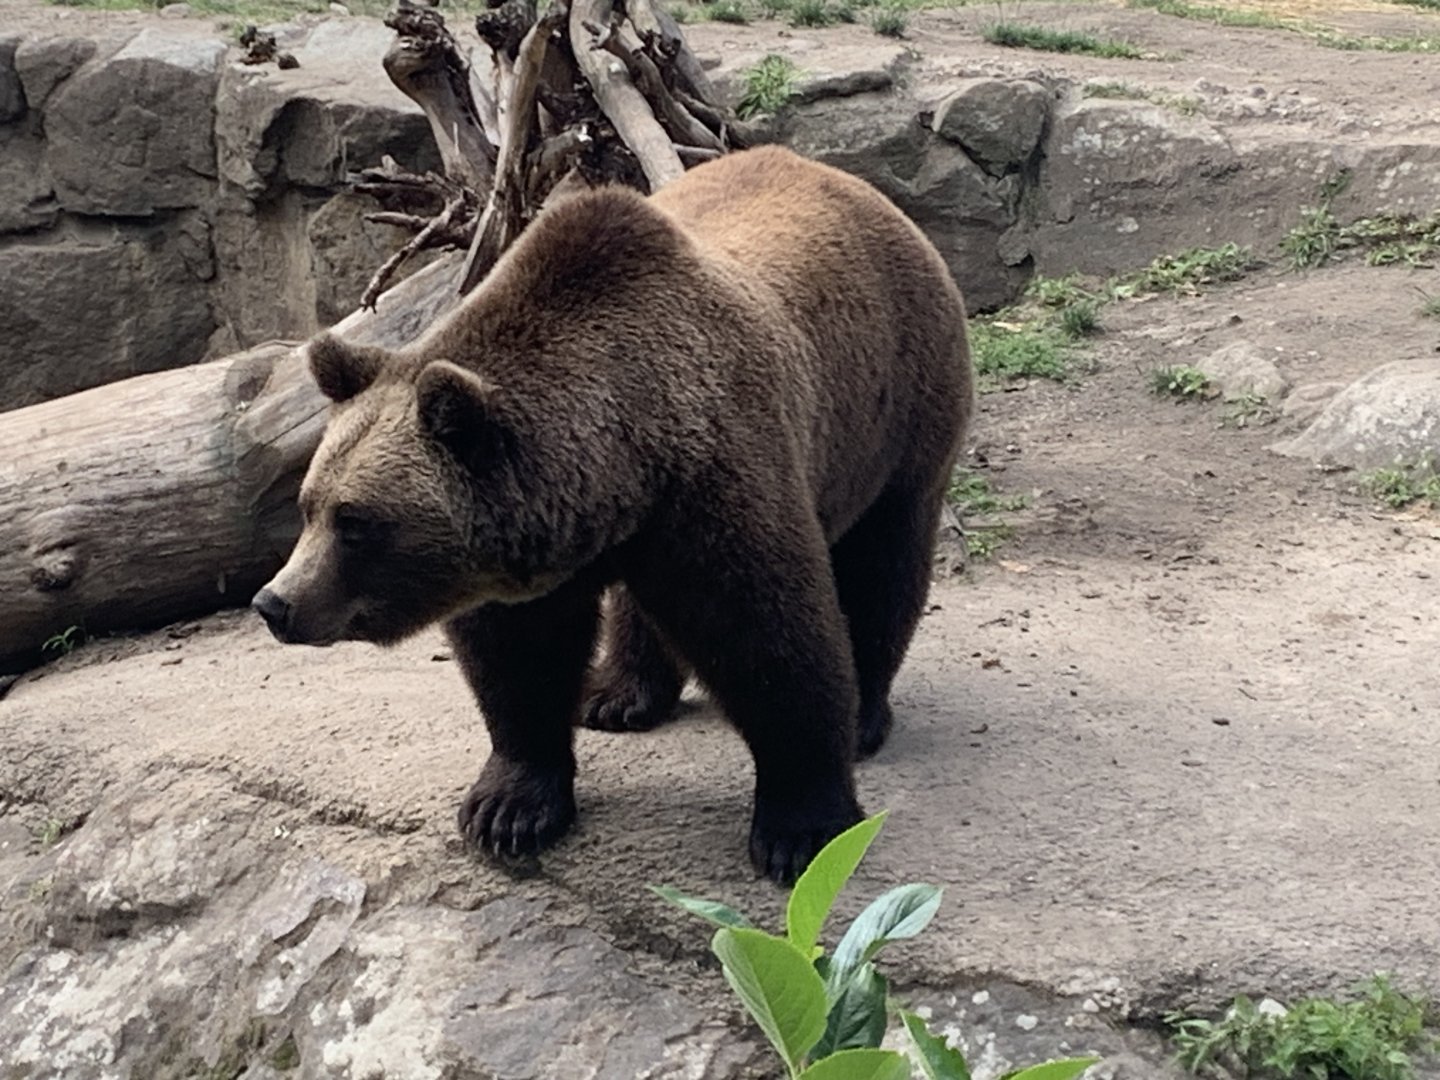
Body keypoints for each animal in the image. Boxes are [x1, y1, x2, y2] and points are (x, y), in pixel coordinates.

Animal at [252, 145, 974, 884]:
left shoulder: (714, 483)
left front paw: (802, 827)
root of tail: (852, 185)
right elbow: (519, 662)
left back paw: (865, 715)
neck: (624, 462)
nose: (276, 602)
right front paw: (508, 808)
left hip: (896, 406)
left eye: (356, 521)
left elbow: (772, 636)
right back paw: (618, 694)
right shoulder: (543, 548)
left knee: (883, 561)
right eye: (308, 506)